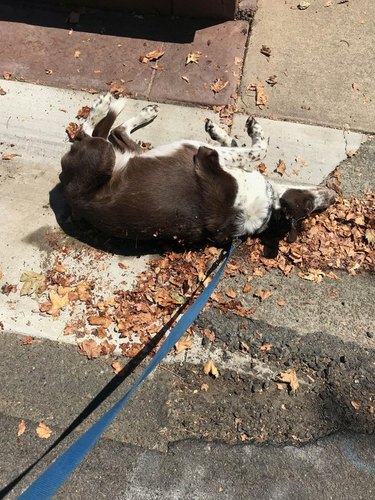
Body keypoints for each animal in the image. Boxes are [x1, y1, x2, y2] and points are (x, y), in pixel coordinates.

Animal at [60, 94, 336, 258]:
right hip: (124, 153)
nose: (333, 195)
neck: (267, 205)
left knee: (89, 133)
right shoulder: (211, 155)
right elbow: (241, 145)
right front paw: (221, 130)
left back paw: (104, 104)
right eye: (309, 206)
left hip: (104, 155)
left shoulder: (204, 155)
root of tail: (69, 193)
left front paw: (251, 132)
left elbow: (255, 149)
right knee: (112, 131)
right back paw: (141, 111)